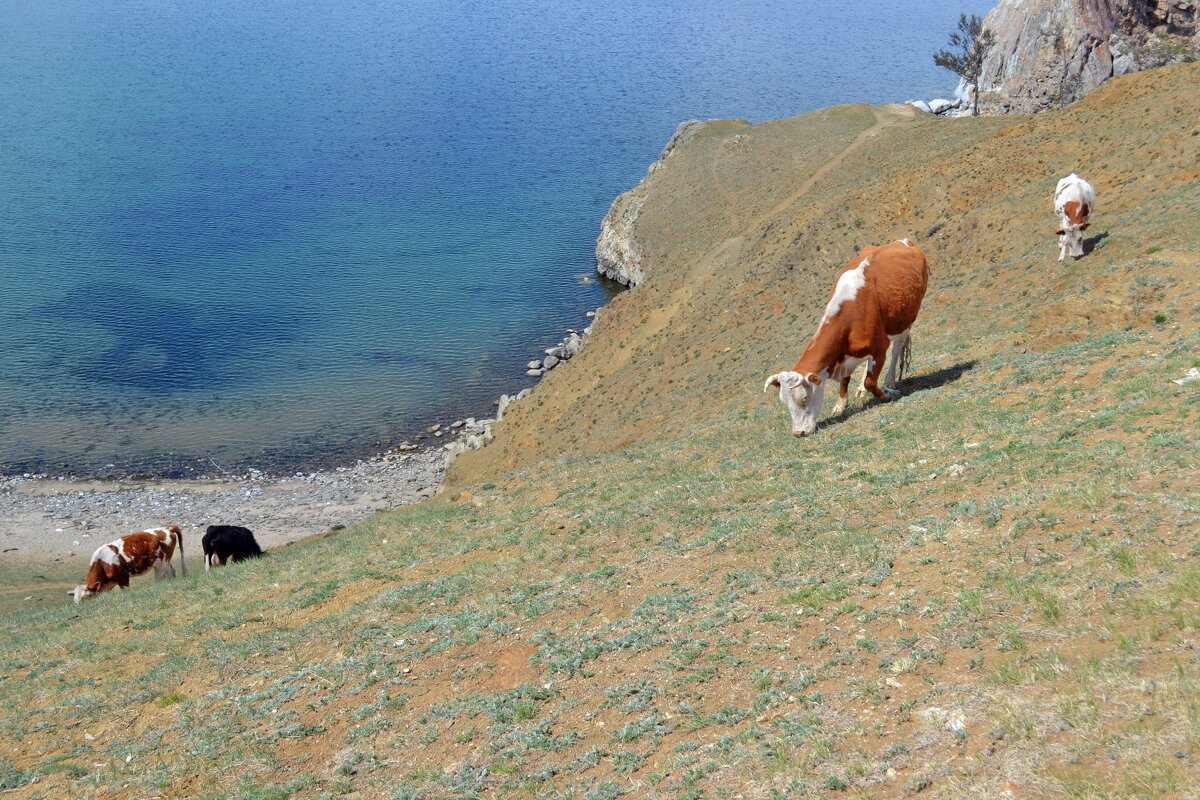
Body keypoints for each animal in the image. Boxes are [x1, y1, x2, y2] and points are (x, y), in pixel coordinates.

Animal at [763, 239, 931, 434]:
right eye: (785, 402)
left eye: (804, 398)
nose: (799, 433)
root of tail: (903, 241)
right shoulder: (845, 356)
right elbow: (845, 380)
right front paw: (840, 405)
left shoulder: (879, 349)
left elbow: (871, 382)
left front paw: (886, 394)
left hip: (906, 320)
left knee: (897, 350)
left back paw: (890, 382)